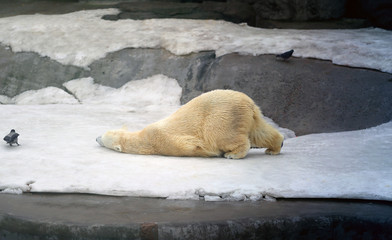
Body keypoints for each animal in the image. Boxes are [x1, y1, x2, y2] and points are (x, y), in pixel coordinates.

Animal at [96, 89, 284, 158]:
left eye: (102, 137)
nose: (95, 138)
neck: (143, 138)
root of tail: (248, 103)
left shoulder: (164, 140)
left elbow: (189, 145)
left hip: (222, 116)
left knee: (223, 136)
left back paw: (233, 154)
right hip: (248, 116)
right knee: (261, 132)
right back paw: (274, 147)